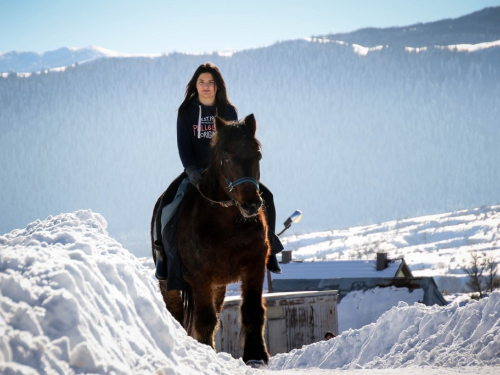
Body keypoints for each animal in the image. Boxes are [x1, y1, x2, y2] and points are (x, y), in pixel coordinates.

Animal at [151, 114, 272, 368]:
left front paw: (256, 355)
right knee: (178, 316)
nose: (251, 204)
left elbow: (252, 310)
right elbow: (204, 319)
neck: (225, 221)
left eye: (257, 155)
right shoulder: (200, 277)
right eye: (227, 156)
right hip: (169, 284)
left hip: (218, 286)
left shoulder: (254, 267)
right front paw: (206, 352)